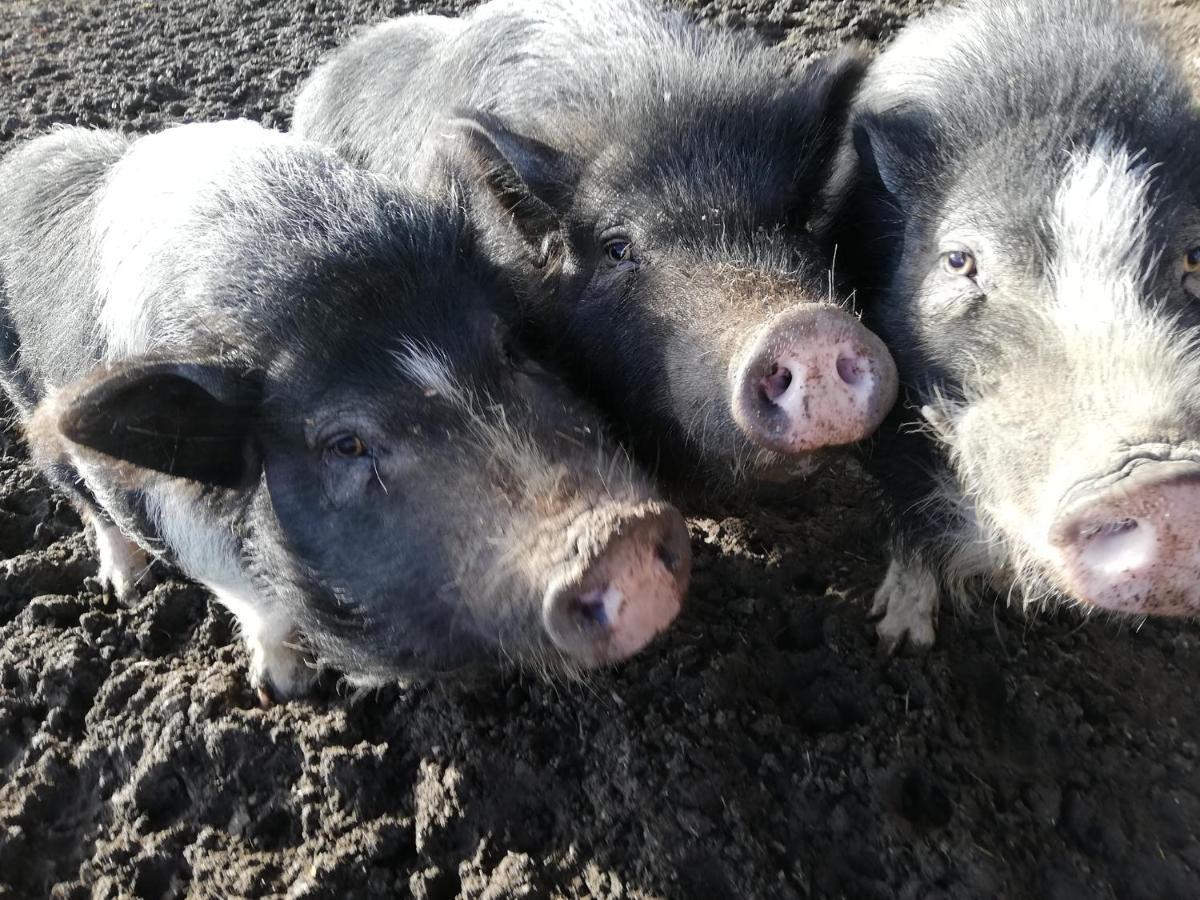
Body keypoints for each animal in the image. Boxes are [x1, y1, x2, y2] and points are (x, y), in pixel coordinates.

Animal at [0, 120, 691, 700]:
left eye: (510, 348)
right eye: (345, 444)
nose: (617, 537)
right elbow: (263, 612)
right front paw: (285, 690)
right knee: (92, 507)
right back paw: (128, 587)